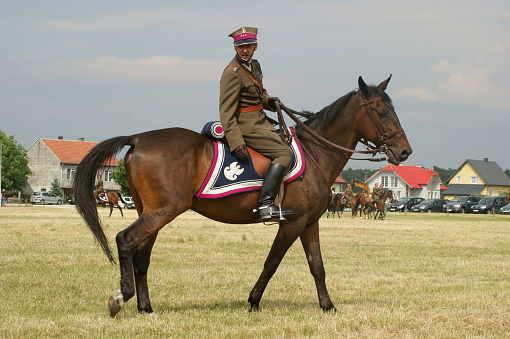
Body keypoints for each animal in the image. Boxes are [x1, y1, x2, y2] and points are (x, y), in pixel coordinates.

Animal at [73, 75, 412, 318]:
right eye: (382, 112)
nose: (405, 151)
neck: (316, 152)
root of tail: (138, 138)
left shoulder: (309, 223)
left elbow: (317, 265)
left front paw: (328, 306)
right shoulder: (292, 223)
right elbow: (272, 262)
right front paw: (253, 301)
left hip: (152, 211)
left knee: (142, 254)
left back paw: (146, 309)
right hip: (162, 211)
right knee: (126, 241)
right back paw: (121, 299)